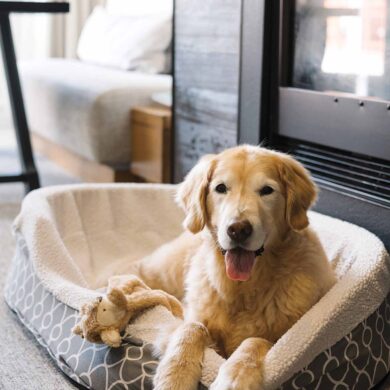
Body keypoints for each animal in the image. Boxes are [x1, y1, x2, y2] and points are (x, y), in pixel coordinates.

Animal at [132, 145, 336, 390]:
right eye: (221, 188)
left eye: (267, 190)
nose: (238, 229)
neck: (242, 288)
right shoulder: (189, 317)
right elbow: (192, 328)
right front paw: (176, 375)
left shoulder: (282, 336)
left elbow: (255, 340)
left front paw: (236, 377)